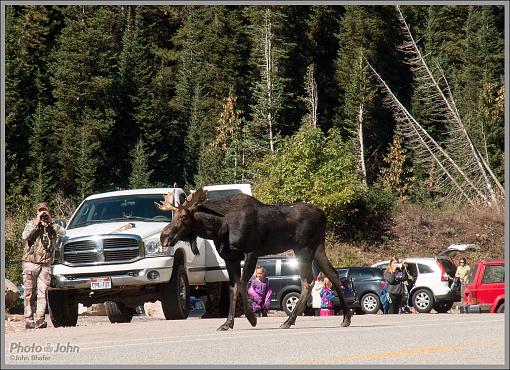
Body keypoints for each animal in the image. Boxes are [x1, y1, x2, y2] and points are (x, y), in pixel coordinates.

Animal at [157, 189, 352, 330]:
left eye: (183, 217)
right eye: (174, 216)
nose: (163, 237)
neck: (218, 228)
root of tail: (324, 216)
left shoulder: (251, 252)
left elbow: (243, 283)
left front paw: (251, 318)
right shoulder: (230, 257)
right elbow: (233, 287)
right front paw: (228, 323)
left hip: (303, 248)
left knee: (307, 281)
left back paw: (289, 321)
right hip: (318, 247)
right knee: (333, 274)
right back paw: (346, 318)